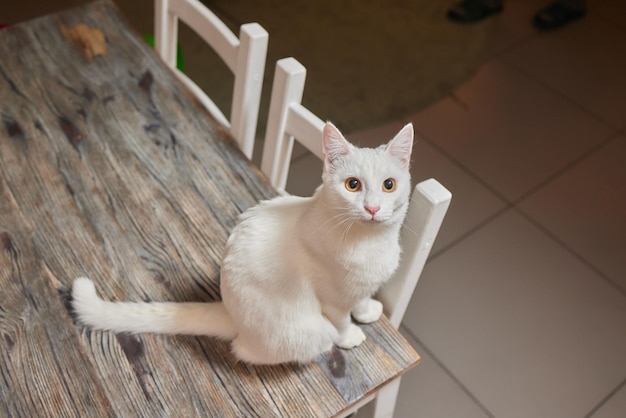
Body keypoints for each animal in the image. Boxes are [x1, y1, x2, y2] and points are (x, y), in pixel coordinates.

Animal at [72, 122, 414, 364]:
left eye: (389, 185)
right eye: (352, 185)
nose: (372, 208)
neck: (370, 242)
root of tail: (229, 311)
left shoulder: (361, 285)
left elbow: (362, 298)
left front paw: (367, 310)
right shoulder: (332, 300)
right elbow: (341, 321)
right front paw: (350, 335)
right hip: (302, 332)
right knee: (248, 351)